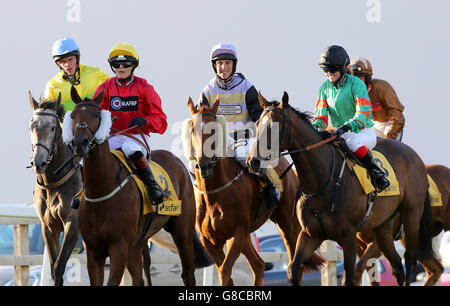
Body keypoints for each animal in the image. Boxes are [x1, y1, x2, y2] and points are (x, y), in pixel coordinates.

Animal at [27, 92, 81, 286]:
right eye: (31, 126)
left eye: (52, 128)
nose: (38, 162)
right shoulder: (48, 227)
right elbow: (53, 268)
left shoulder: (72, 225)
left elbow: (59, 268)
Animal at [64, 87, 212, 286]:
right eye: (73, 115)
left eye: (96, 115)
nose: (80, 142)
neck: (101, 194)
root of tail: (175, 159)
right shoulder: (94, 250)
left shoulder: (119, 247)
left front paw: (139, 120)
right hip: (139, 242)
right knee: (139, 277)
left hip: (183, 233)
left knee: (188, 273)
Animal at [185, 97, 326, 286]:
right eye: (193, 129)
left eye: (213, 129)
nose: (204, 165)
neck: (214, 194)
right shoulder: (210, 241)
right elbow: (226, 273)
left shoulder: (237, 234)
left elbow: (225, 271)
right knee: (259, 265)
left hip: (288, 225)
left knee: (292, 264)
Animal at [248, 92, 434, 286]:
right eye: (257, 124)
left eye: (273, 126)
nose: (253, 162)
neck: (321, 182)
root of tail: (415, 156)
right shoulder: (310, 234)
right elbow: (294, 270)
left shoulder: (348, 236)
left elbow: (349, 278)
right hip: (383, 226)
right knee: (397, 265)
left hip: (412, 214)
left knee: (410, 260)